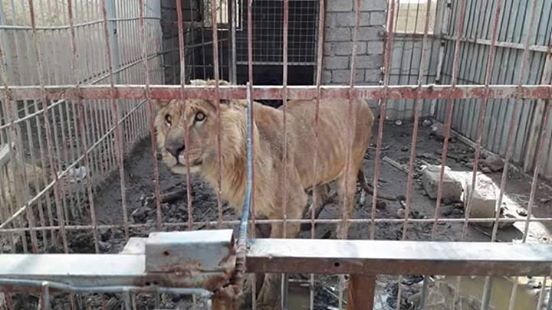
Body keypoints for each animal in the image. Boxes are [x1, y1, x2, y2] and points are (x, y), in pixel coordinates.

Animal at [154, 79, 376, 308]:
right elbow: (255, 261)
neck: (229, 162)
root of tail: (361, 99)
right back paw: (307, 223)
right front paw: (247, 294)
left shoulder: (290, 206)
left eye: (200, 116)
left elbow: (273, 266)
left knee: (345, 213)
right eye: (168, 119)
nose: (172, 149)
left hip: (349, 171)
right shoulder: (253, 211)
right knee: (323, 192)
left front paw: (265, 302)